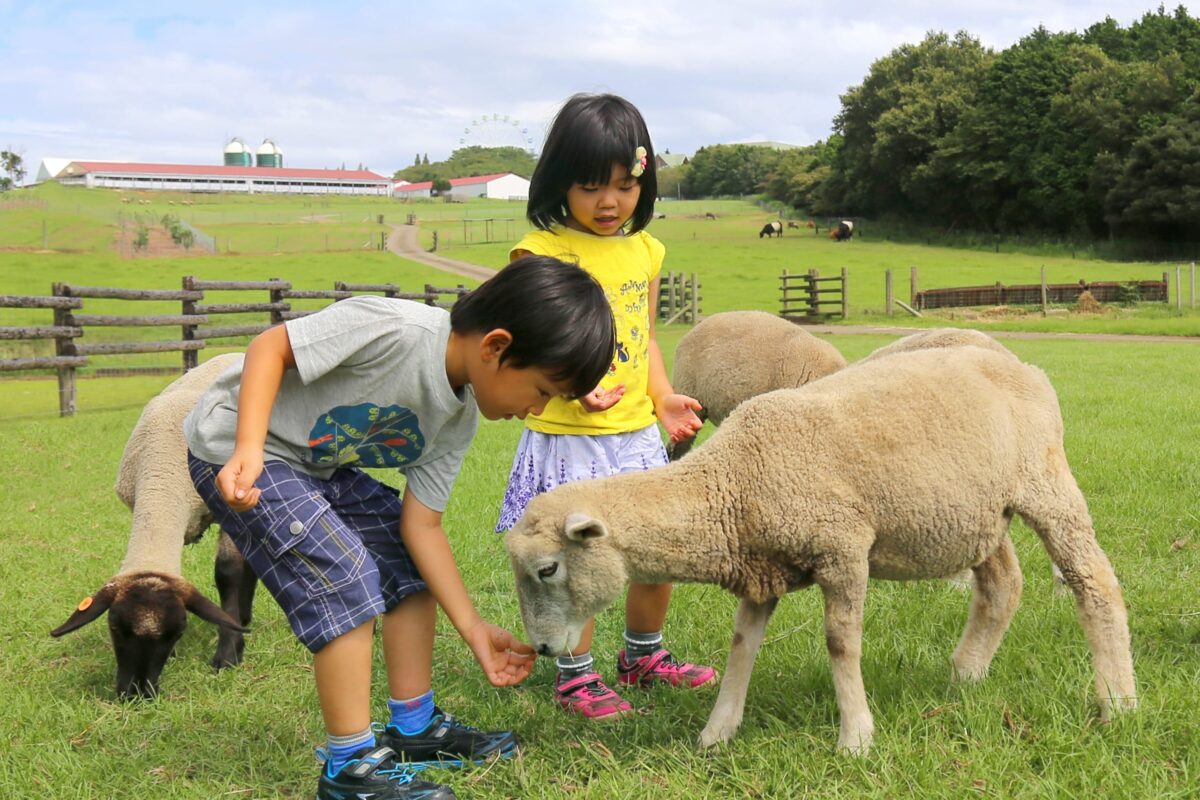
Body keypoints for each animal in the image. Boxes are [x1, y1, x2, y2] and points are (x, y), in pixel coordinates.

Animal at [504, 347, 1132, 753]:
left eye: (548, 568)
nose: (542, 648)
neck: (731, 483)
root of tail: (1024, 366)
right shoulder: (762, 571)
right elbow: (741, 647)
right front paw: (717, 733)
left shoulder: (843, 550)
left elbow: (840, 644)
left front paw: (856, 736)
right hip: (976, 512)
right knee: (1002, 585)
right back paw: (966, 676)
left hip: (1044, 482)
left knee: (1095, 582)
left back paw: (1118, 702)